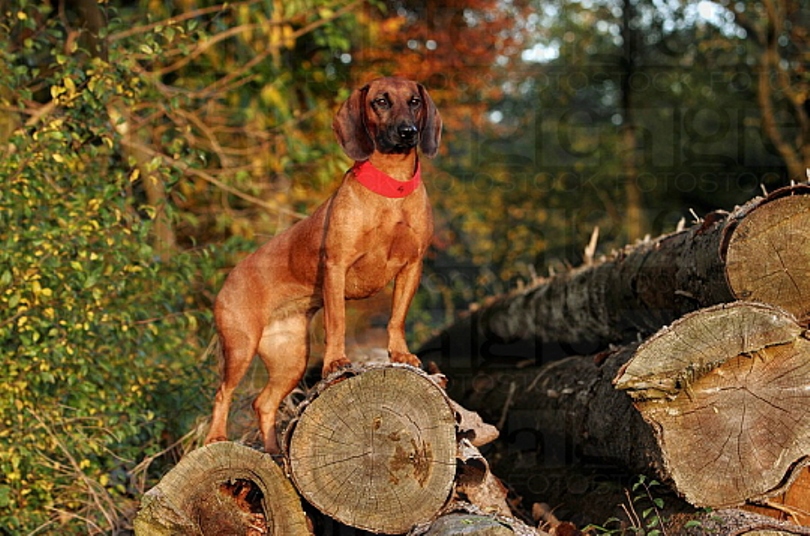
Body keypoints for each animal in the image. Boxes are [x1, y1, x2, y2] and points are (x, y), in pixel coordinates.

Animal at [204, 77, 442, 454]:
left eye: (415, 101)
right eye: (381, 101)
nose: (408, 132)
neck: (390, 188)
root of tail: (228, 278)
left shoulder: (412, 266)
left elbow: (397, 318)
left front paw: (401, 353)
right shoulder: (336, 267)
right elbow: (337, 322)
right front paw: (336, 362)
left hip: (291, 357)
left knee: (263, 402)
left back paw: (274, 452)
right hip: (239, 346)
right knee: (222, 393)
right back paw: (216, 437)